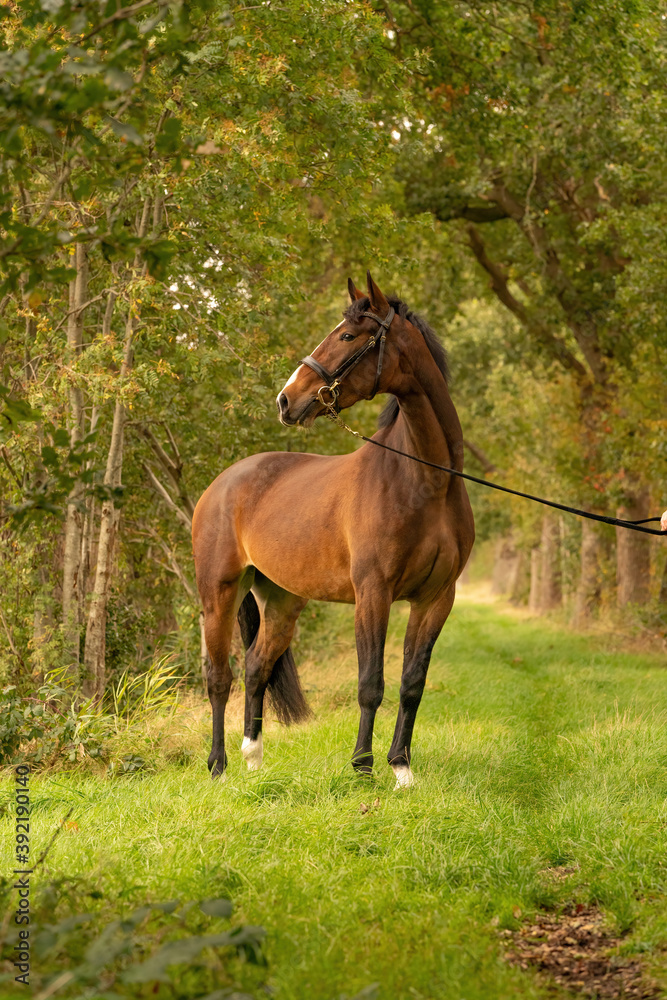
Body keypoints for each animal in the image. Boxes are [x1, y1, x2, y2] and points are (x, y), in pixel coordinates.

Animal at [192, 272, 475, 787]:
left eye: (347, 336)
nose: (286, 399)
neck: (425, 481)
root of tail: (223, 483)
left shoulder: (436, 598)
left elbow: (411, 683)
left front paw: (402, 768)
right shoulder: (373, 592)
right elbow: (370, 684)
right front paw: (362, 767)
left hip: (282, 600)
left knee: (256, 667)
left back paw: (254, 759)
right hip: (218, 591)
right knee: (219, 676)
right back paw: (218, 767)